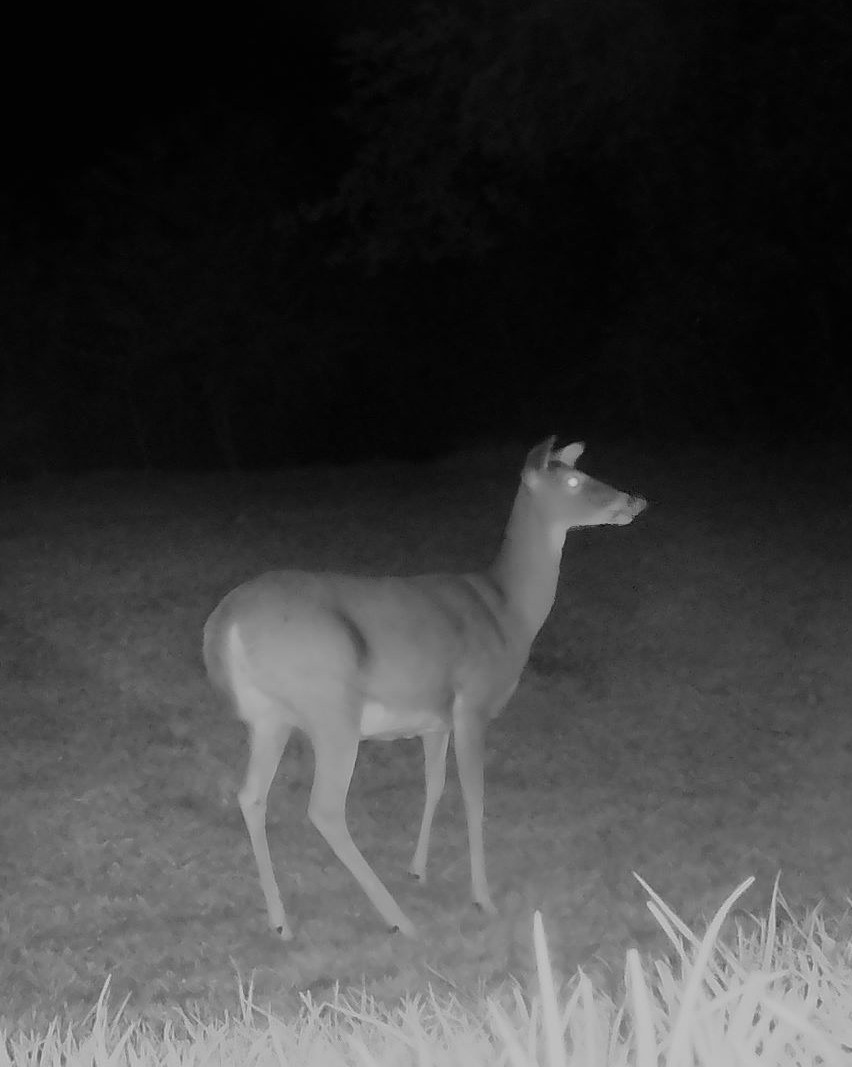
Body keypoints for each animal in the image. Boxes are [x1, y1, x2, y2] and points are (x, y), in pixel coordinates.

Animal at [203, 438, 646, 939]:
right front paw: (483, 898)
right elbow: (474, 796)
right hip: (332, 710)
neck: (507, 610)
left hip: (269, 718)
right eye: (572, 480)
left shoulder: (436, 722)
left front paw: (418, 869)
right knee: (324, 808)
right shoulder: (472, 704)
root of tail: (224, 624)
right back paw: (400, 920)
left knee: (250, 795)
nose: (634, 501)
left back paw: (281, 923)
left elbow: (434, 785)